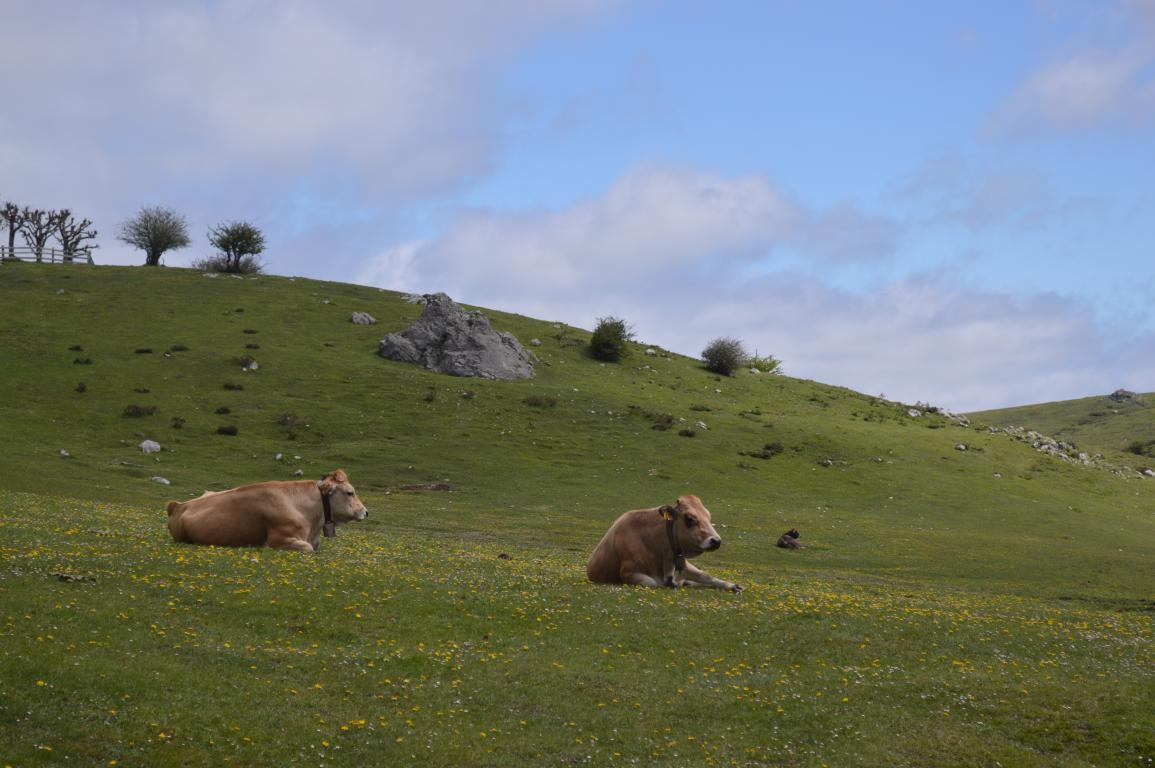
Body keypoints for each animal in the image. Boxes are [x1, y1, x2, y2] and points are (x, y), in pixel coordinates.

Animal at [586, 494, 739, 588]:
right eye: (689, 518)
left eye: (708, 516)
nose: (716, 541)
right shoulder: (628, 573)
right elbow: (653, 582)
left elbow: (706, 576)